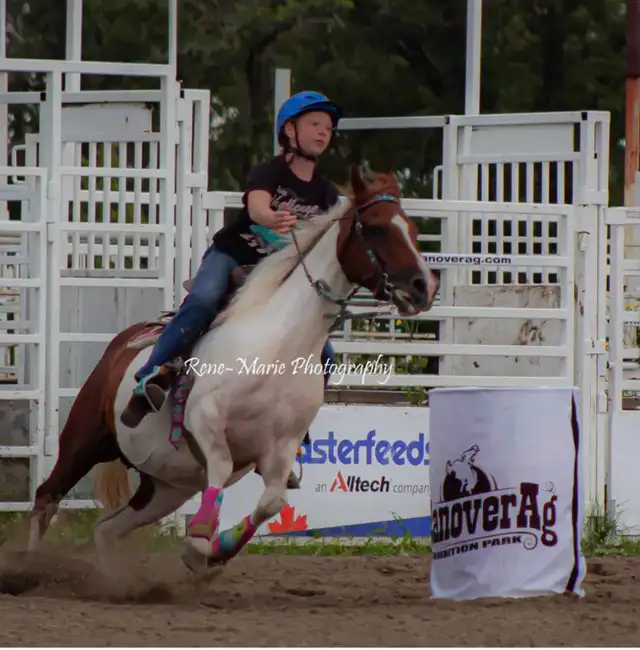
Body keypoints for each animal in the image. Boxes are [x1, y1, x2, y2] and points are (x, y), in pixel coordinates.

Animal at [26, 164, 439, 574]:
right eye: (376, 228)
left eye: (412, 229)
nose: (424, 285)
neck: (278, 346)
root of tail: (123, 343)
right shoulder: (204, 418)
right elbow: (223, 466)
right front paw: (199, 542)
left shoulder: (281, 448)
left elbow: (272, 502)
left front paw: (218, 550)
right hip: (84, 440)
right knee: (46, 497)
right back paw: (30, 565)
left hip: (164, 488)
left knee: (107, 529)